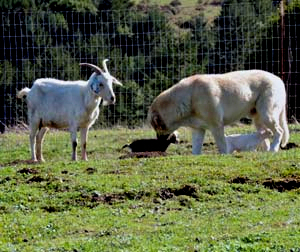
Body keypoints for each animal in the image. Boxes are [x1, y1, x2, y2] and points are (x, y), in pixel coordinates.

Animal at [149, 70, 290, 155]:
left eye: (156, 127)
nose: (158, 142)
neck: (189, 98)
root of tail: (279, 79)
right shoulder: (198, 130)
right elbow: (195, 149)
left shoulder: (217, 126)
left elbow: (222, 146)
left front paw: (225, 156)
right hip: (258, 119)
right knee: (265, 134)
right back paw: (266, 152)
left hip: (267, 114)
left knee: (279, 131)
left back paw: (273, 150)